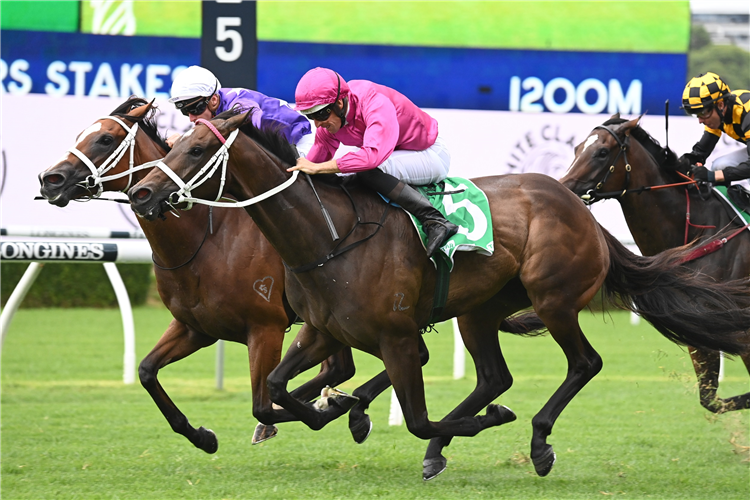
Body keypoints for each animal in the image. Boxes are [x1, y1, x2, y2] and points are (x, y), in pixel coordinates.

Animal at [38, 97, 368, 454]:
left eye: (105, 139)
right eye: (80, 135)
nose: (50, 179)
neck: (206, 241)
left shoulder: (266, 328)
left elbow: (262, 403)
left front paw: (324, 409)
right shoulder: (195, 327)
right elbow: (146, 371)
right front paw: (203, 437)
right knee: (340, 367)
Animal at [560, 114, 750, 414]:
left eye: (602, 152)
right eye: (578, 148)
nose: (562, 189)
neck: (703, 231)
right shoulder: (701, 330)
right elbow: (710, 399)